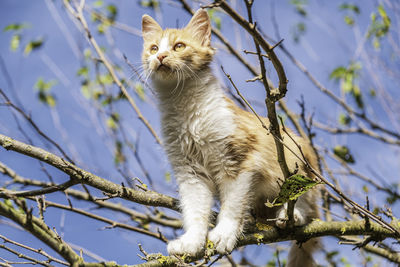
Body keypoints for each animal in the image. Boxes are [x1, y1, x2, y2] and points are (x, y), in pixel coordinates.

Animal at [141, 8, 318, 267]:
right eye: (153, 48)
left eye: (179, 46)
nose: (161, 56)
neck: (184, 106)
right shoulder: (190, 173)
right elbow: (195, 211)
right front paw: (192, 241)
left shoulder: (240, 160)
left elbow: (233, 204)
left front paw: (224, 233)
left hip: (297, 163)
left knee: (307, 204)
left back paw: (291, 213)